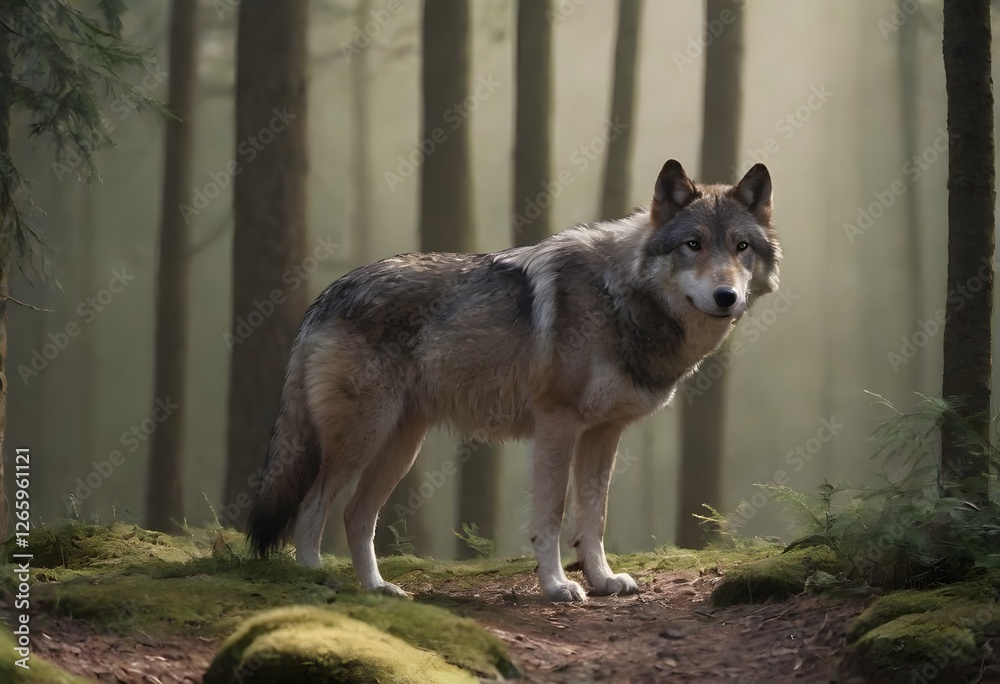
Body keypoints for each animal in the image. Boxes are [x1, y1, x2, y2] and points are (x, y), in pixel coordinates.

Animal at [246, 159, 780, 602]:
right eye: (693, 245)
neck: (618, 297)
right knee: (313, 507)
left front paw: (603, 579)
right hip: (360, 438)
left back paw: (379, 589)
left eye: (741, 247)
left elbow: (594, 517)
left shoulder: (603, 434)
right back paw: (314, 578)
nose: (726, 296)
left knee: (356, 515)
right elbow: (552, 515)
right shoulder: (557, 424)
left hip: (401, 446)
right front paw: (557, 585)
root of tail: (328, 292)